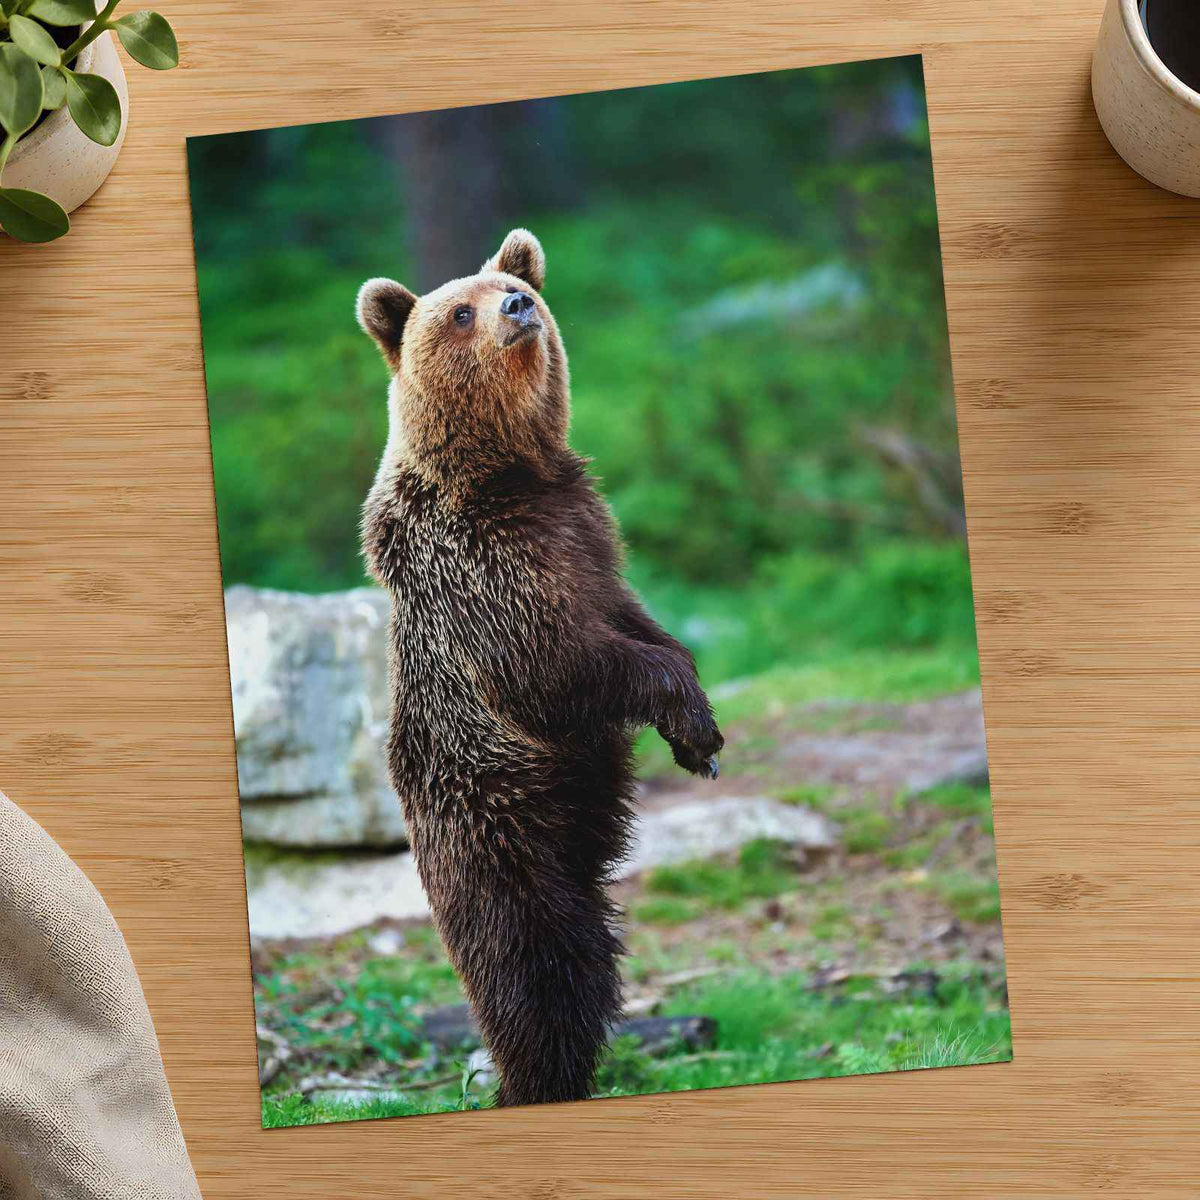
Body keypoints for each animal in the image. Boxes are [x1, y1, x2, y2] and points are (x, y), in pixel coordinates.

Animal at [357, 228, 724, 1108]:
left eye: (508, 285)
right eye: (460, 310)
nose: (519, 306)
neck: (510, 472)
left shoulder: (586, 532)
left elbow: (639, 621)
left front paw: (697, 731)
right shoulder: (483, 573)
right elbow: (557, 665)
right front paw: (692, 721)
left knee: (587, 963)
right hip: (499, 827)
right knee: (532, 965)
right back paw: (535, 1079)